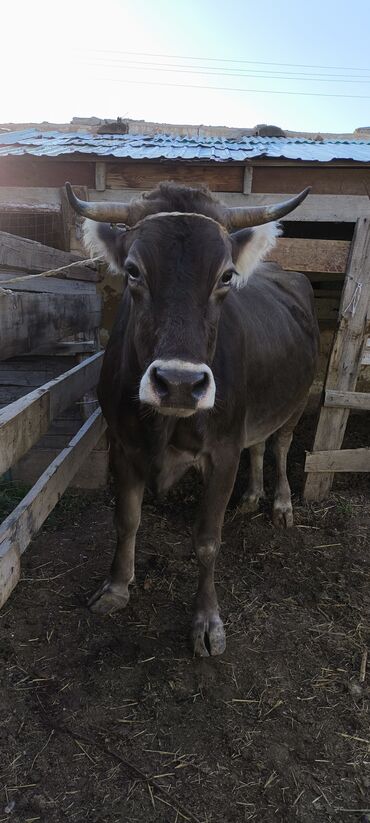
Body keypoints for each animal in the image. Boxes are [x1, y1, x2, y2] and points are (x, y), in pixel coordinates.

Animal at [66, 182, 318, 656]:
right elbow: (126, 520)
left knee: (280, 444)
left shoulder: (223, 450)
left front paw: (207, 621)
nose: (180, 382)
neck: (164, 424)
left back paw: (279, 504)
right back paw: (251, 497)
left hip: (296, 399)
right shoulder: (122, 444)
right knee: (258, 443)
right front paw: (116, 588)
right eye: (133, 271)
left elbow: (206, 541)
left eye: (226, 276)